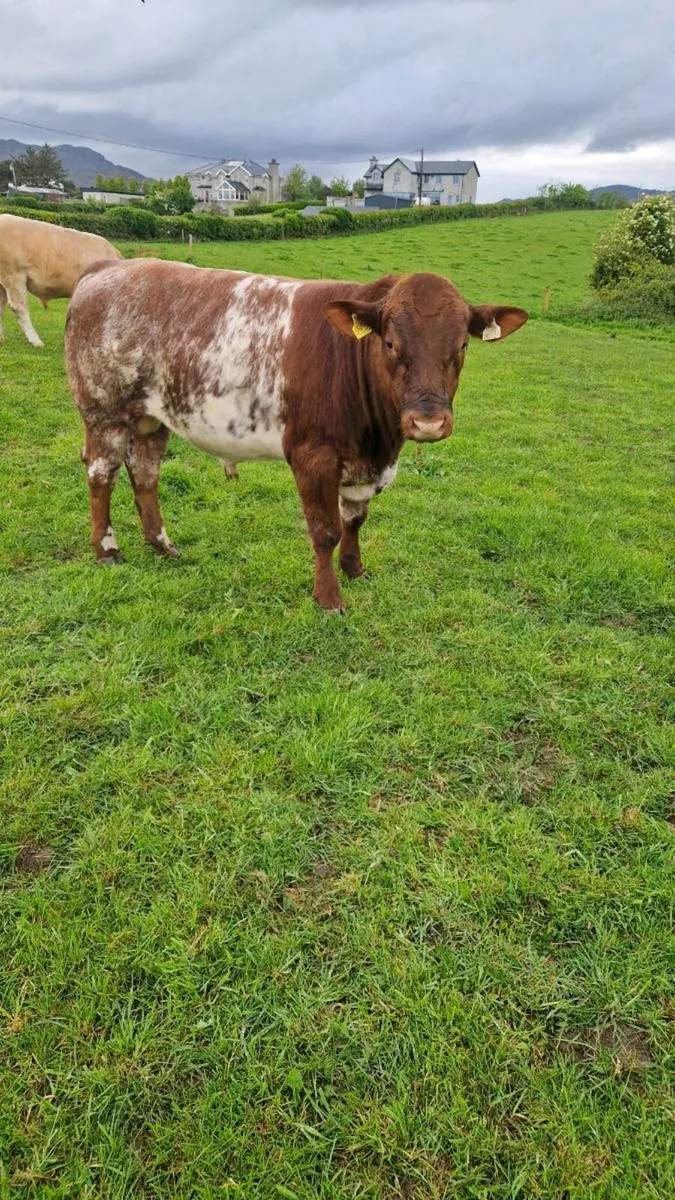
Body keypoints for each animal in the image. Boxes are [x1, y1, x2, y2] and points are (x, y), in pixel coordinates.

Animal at [65, 259, 528, 612]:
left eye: (461, 346)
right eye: (391, 344)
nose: (428, 422)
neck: (378, 440)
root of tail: (109, 267)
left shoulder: (363, 463)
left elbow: (355, 520)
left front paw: (355, 570)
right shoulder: (312, 454)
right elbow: (325, 530)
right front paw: (329, 598)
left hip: (150, 417)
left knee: (145, 473)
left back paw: (163, 546)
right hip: (103, 411)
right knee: (101, 475)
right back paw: (107, 551)